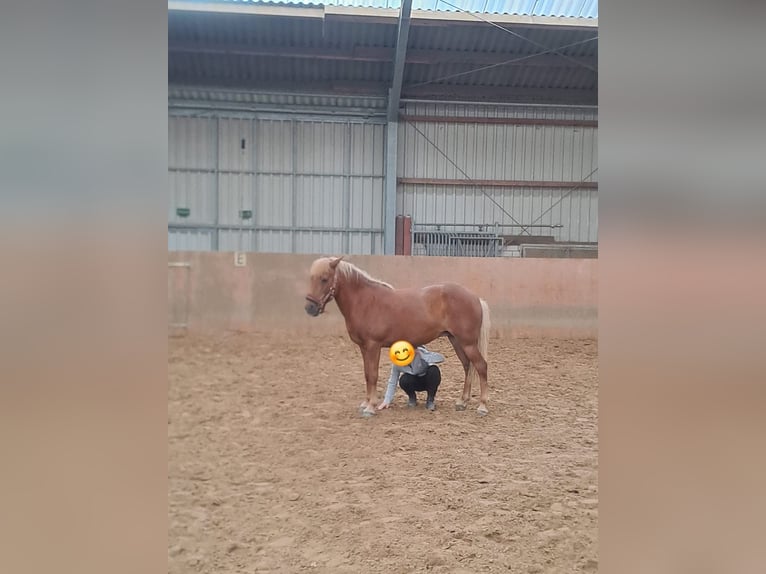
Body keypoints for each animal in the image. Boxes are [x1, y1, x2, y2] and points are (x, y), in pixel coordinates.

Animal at [304, 256, 491, 417]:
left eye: (324, 279)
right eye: (311, 278)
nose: (310, 308)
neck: (365, 301)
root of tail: (475, 298)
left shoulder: (373, 346)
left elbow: (373, 375)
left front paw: (370, 407)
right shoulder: (364, 348)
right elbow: (366, 374)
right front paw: (366, 403)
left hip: (467, 343)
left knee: (481, 366)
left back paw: (482, 406)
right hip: (456, 340)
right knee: (467, 366)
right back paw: (462, 402)